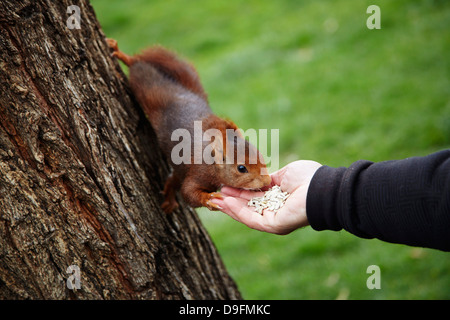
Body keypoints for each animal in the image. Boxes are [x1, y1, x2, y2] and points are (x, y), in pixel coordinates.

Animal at [107, 39, 268, 212]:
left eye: (260, 155)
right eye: (241, 168)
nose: (267, 182)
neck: (212, 163)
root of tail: (183, 91)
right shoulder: (198, 172)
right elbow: (188, 192)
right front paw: (208, 198)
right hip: (146, 87)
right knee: (138, 65)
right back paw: (122, 54)